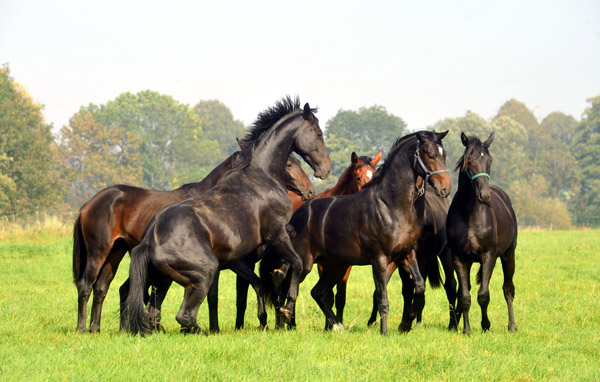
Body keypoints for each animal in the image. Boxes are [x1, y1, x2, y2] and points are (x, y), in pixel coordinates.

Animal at [119, 97, 330, 336]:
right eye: (319, 133)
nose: (325, 169)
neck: (262, 177)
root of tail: (151, 238)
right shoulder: (276, 233)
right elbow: (297, 263)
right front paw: (286, 308)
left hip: (163, 279)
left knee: (152, 312)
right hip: (204, 273)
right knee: (184, 315)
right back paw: (204, 332)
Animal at [224, 149, 380, 332]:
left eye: (375, 175)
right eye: (357, 177)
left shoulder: (343, 264)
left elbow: (340, 297)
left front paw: (332, 323)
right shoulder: (323, 264)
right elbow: (326, 294)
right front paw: (329, 325)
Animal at [260, 131, 448, 334]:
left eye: (443, 154)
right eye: (430, 155)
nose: (446, 187)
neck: (391, 206)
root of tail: (297, 214)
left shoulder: (406, 255)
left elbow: (419, 287)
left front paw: (405, 325)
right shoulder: (380, 259)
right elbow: (382, 298)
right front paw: (384, 331)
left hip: (334, 265)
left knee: (317, 291)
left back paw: (335, 325)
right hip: (307, 261)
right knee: (286, 280)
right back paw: (285, 317)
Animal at [446, 132, 520, 334]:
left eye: (489, 159)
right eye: (469, 161)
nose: (485, 195)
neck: (470, 215)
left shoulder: (489, 256)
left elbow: (483, 294)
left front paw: (486, 325)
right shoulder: (459, 258)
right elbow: (465, 296)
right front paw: (466, 330)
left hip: (508, 254)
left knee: (508, 288)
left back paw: (512, 326)